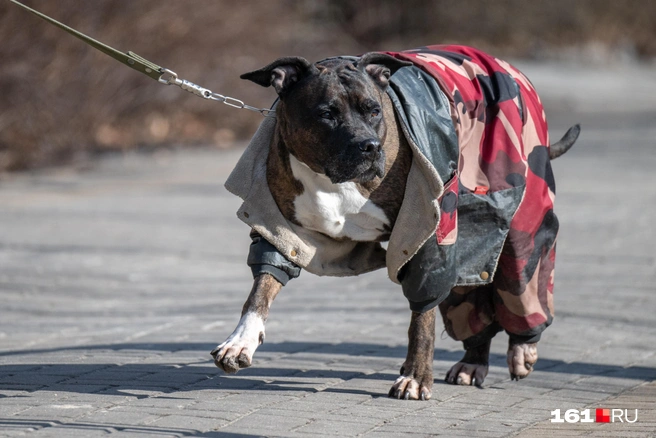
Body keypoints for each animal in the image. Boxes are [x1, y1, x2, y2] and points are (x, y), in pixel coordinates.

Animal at [210, 45, 580, 400]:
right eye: (326, 114)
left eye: (374, 111)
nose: (369, 146)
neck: (333, 181)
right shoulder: (280, 230)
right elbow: (261, 288)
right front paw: (241, 340)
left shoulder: (427, 235)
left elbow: (422, 317)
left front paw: (415, 377)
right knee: (469, 291)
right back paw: (473, 361)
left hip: (519, 215)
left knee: (524, 275)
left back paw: (523, 346)